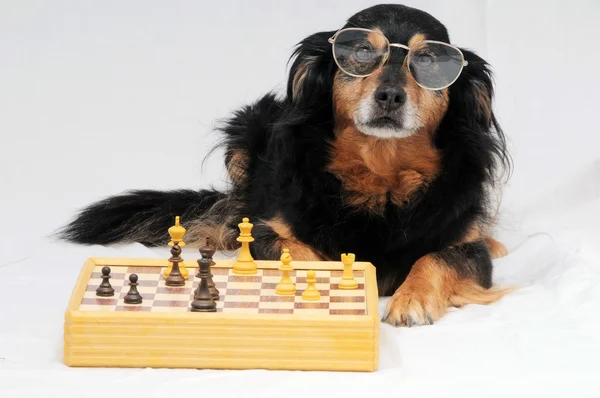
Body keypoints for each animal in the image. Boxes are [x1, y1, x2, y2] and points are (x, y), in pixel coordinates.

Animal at [58, 3, 512, 326]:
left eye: (431, 63)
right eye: (360, 51)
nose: (389, 96)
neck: (379, 173)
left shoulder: (466, 249)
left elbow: (435, 258)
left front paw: (411, 299)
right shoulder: (265, 231)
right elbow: (298, 252)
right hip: (244, 133)